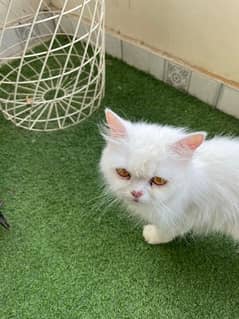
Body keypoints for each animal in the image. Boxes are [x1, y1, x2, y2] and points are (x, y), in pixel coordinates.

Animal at [99, 109, 239, 245]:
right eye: (123, 172)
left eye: (158, 180)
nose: (136, 193)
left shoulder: (185, 216)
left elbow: (167, 232)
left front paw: (152, 235)